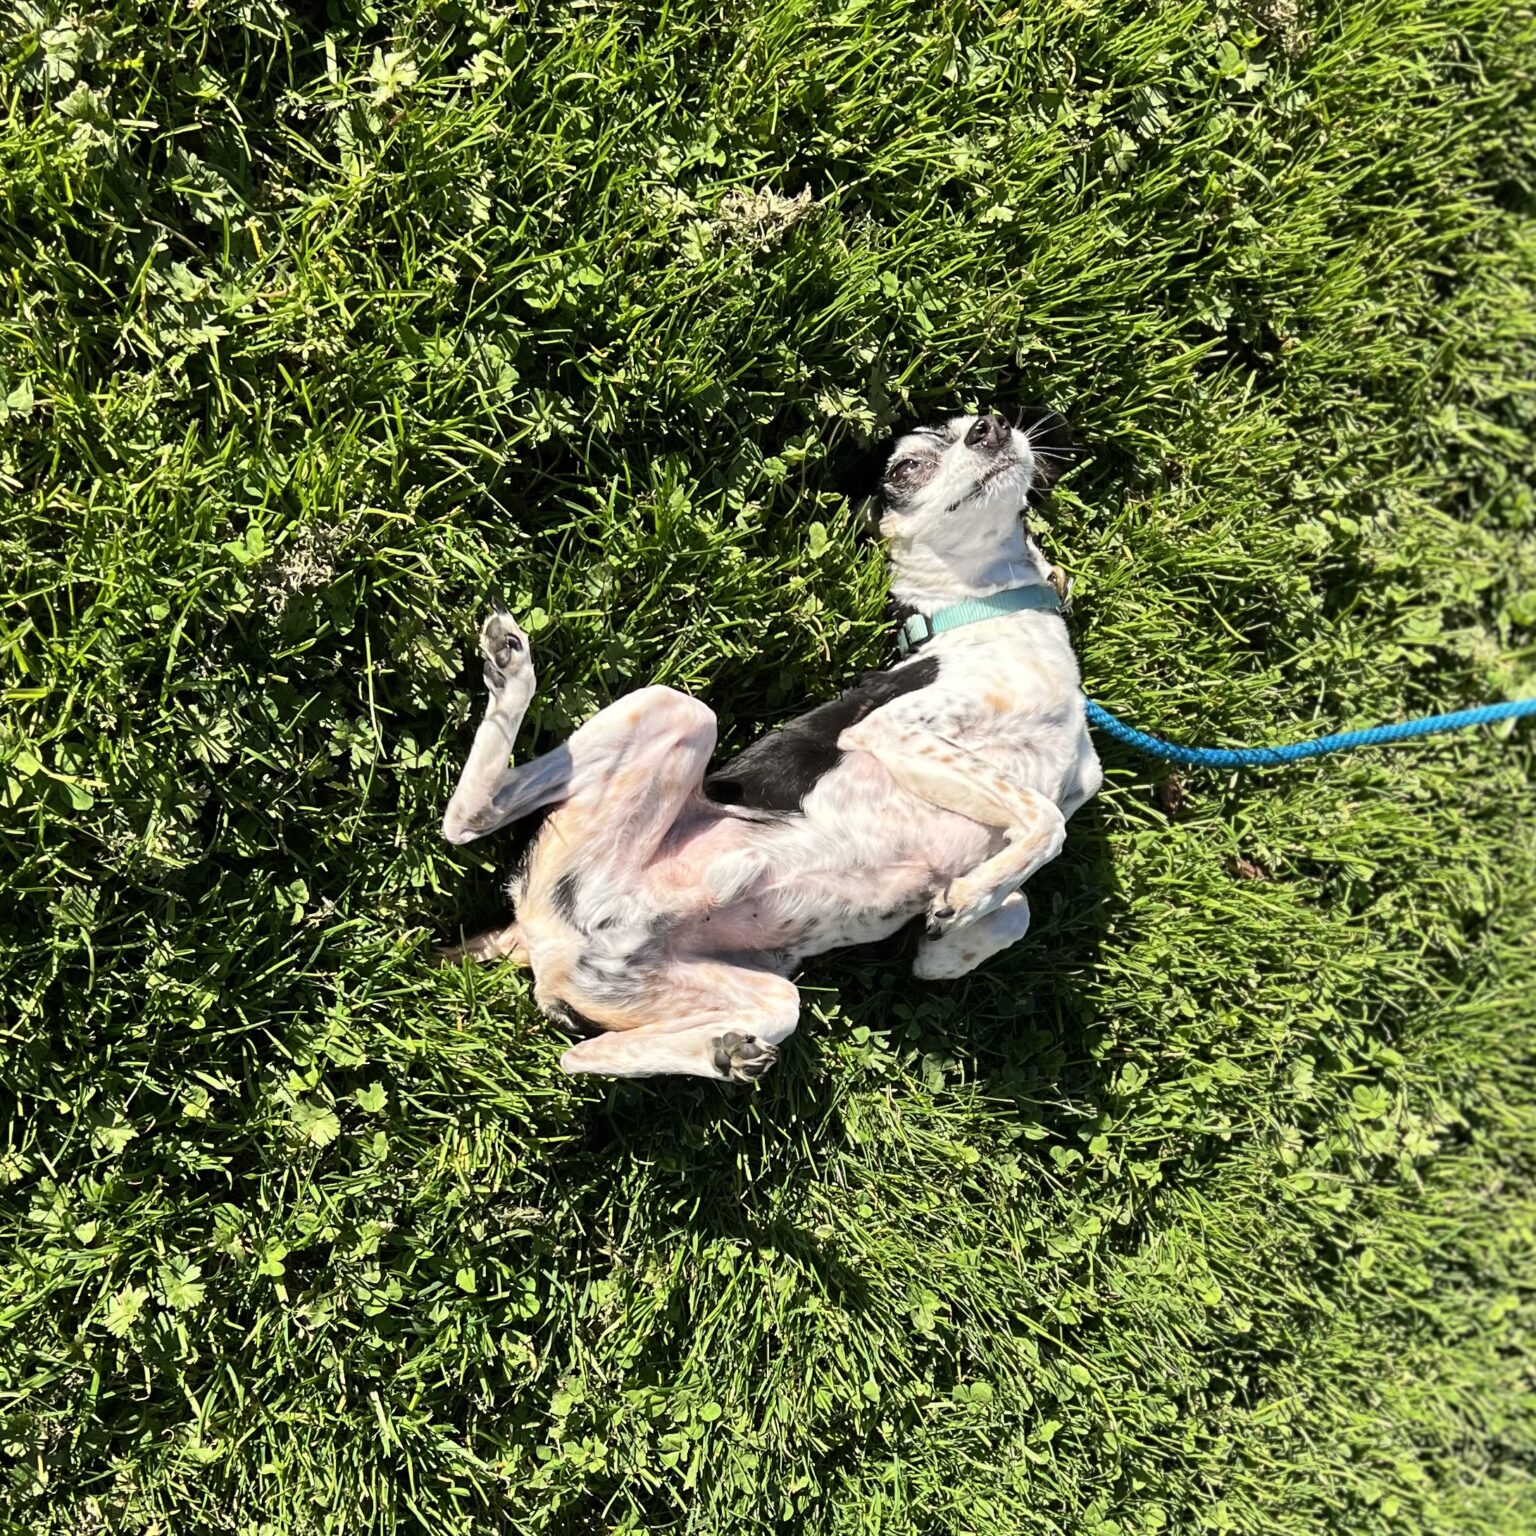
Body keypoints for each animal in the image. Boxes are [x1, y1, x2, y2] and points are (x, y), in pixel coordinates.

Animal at [439, 408, 1099, 1081]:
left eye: (981, 417)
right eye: (908, 465)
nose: (991, 428)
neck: (993, 617)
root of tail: (530, 936)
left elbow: (1017, 906)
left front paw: (951, 930)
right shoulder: (893, 729)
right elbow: (1044, 821)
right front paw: (968, 898)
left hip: (737, 988)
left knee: (578, 1054)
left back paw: (721, 1051)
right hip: (676, 706)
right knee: (466, 820)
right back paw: (509, 670)